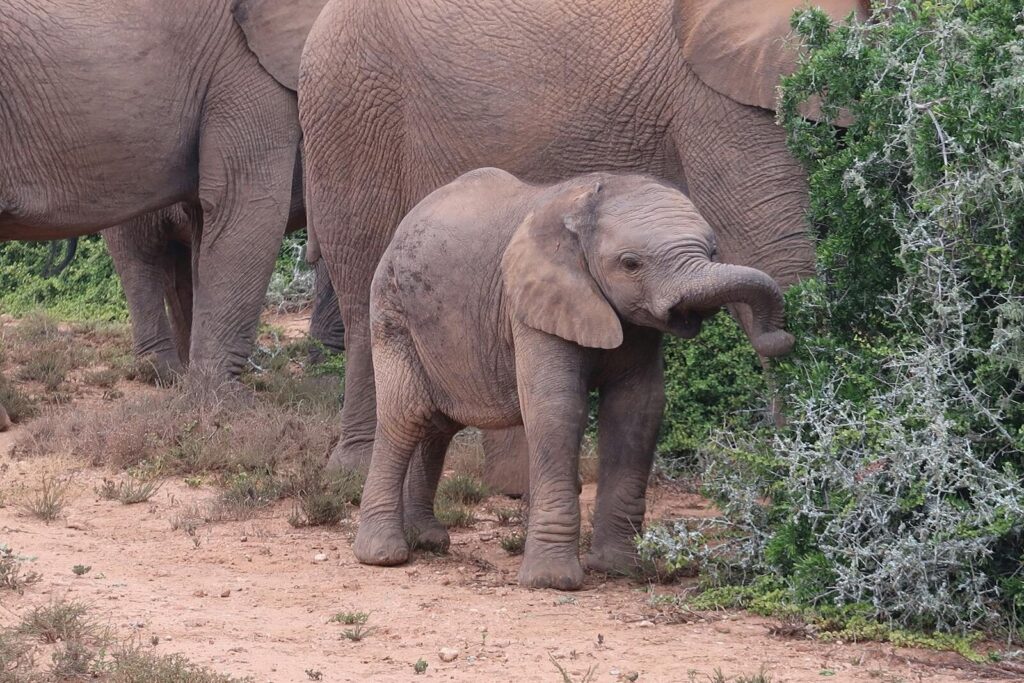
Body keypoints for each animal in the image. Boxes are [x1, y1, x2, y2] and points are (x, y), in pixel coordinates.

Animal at [0, 0, 329, 378]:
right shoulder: (241, 65)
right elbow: (245, 204)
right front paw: (220, 395)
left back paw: (165, 374)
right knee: (141, 251)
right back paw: (165, 374)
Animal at [298, 0, 869, 475]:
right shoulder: (716, 94)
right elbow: (774, 251)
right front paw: (806, 471)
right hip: (349, 108)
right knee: (362, 283)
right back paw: (354, 470)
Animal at [356, 168, 794, 589]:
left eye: (713, 252)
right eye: (631, 263)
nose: (782, 338)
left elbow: (638, 411)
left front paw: (619, 569)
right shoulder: (532, 304)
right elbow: (558, 409)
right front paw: (552, 582)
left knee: (437, 426)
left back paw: (429, 540)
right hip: (391, 309)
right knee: (406, 416)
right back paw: (383, 555)